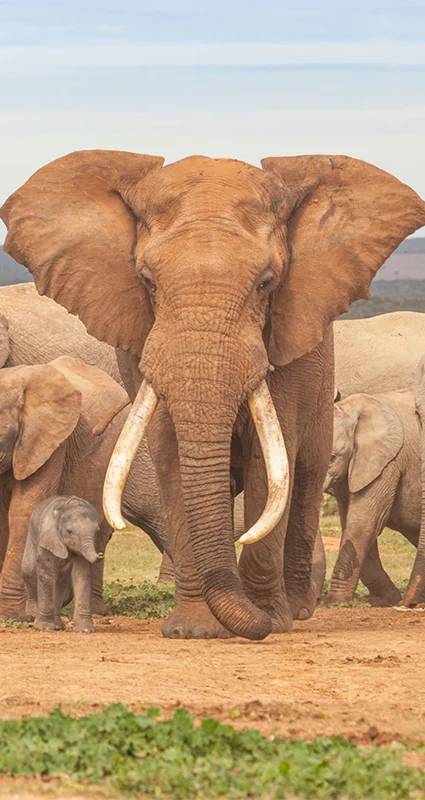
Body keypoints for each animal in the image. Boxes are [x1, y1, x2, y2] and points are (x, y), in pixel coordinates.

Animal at [22, 496, 102, 633]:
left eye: (97, 531)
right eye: (69, 531)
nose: (100, 555)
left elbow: (82, 575)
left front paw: (85, 630)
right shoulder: (47, 536)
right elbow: (46, 574)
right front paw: (44, 628)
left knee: (60, 581)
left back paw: (58, 625)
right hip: (32, 533)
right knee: (29, 571)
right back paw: (34, 614)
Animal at [323, 377, 425, 606]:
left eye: (332, 458)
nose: (402, 605)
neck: (349, 409)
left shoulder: (388, 462)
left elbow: (364, 522)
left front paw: (335, 602)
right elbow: (352, 523)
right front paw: (387, 600)